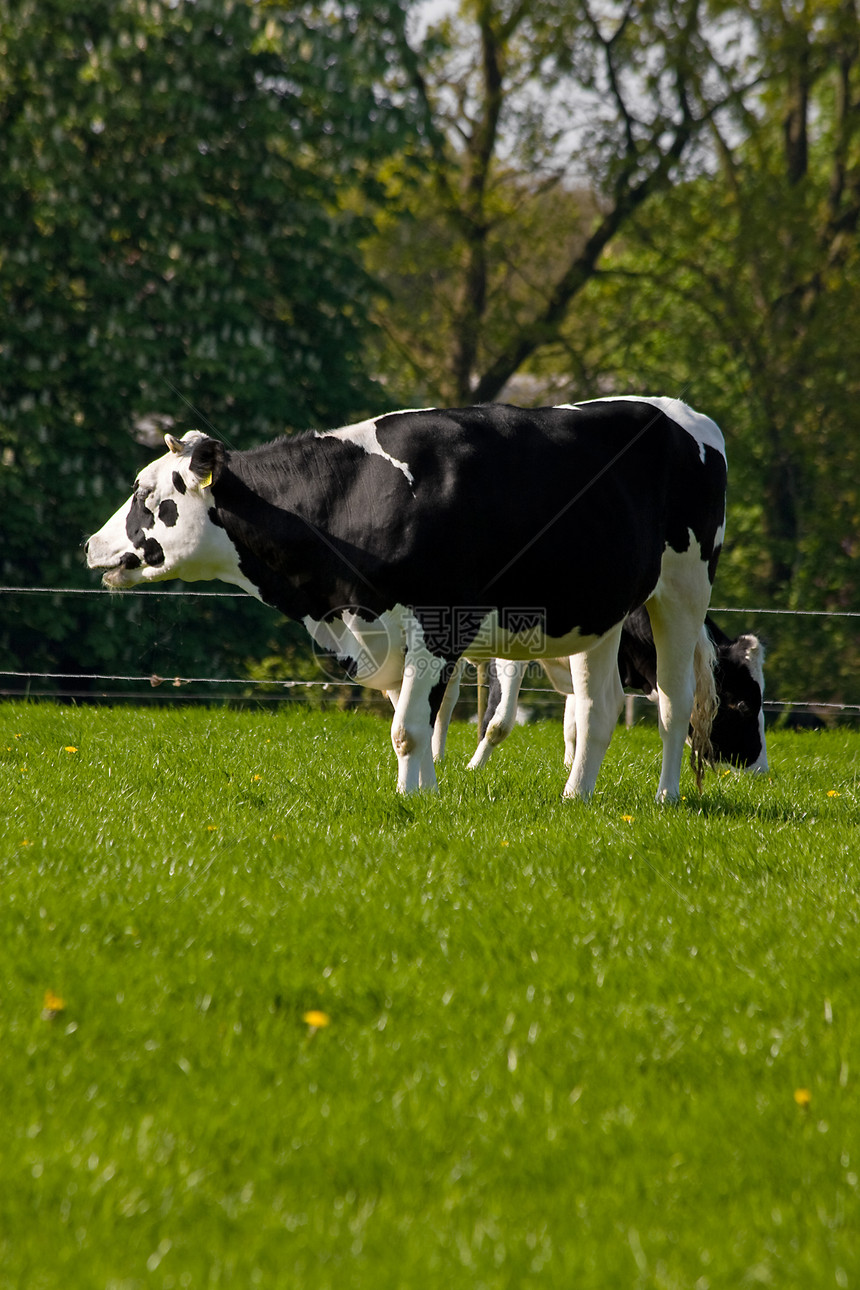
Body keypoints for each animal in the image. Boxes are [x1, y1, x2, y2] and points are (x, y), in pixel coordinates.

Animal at [87, 394, 732, 794]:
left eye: (148, 495)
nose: (91, 544)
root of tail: (684, 414)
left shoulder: (442, 620)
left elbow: (410, 727)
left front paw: (410, 800)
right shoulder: (384, 630)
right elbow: (416, 718)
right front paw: (426, 792)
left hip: (682, 590)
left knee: (674, 702)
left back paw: (666, 797)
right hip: (600, 612)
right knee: (597, 709)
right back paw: (576, 797)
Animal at [453, 601, 768, 768]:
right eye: (743, 705)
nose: (760, 768)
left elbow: (573, 725)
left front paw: (571, 766)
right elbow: (498, 721)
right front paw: (473, 768)